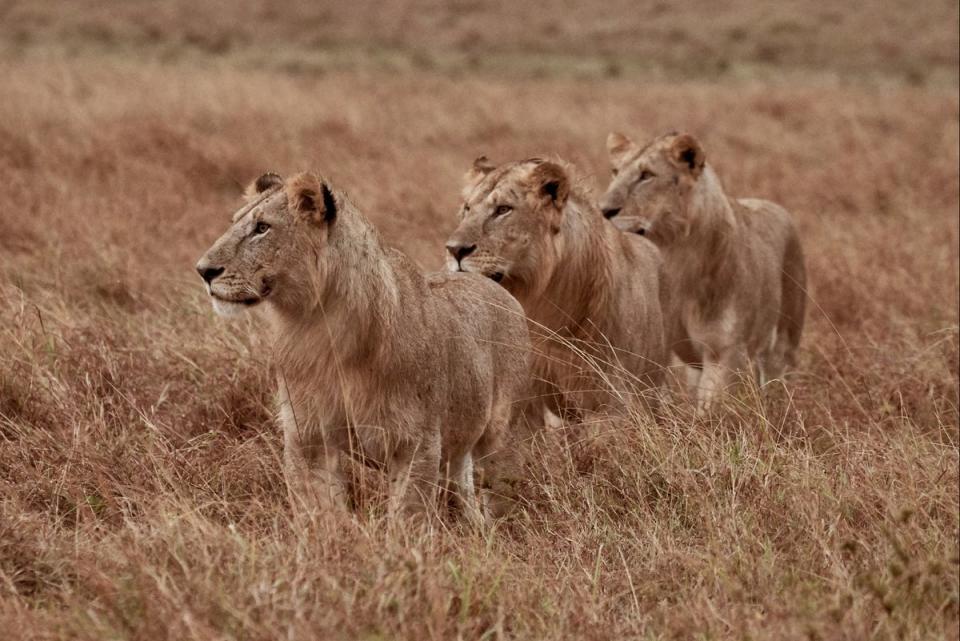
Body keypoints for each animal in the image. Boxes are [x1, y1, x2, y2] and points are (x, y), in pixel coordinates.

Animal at [191, 172, 528, 524]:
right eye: (235, 223)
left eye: (262, 228)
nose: (203, 270)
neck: (319, 325)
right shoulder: (307, 437)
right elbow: (320, 512)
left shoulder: (416, 441)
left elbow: (407, 516)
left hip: (502, 433)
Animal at [604, 131, 808, 410]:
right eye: (615, 171)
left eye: (646, 175)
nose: (604, 210)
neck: (671, 256)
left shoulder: (723, 350)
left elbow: (711, 410)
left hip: (786, 339)